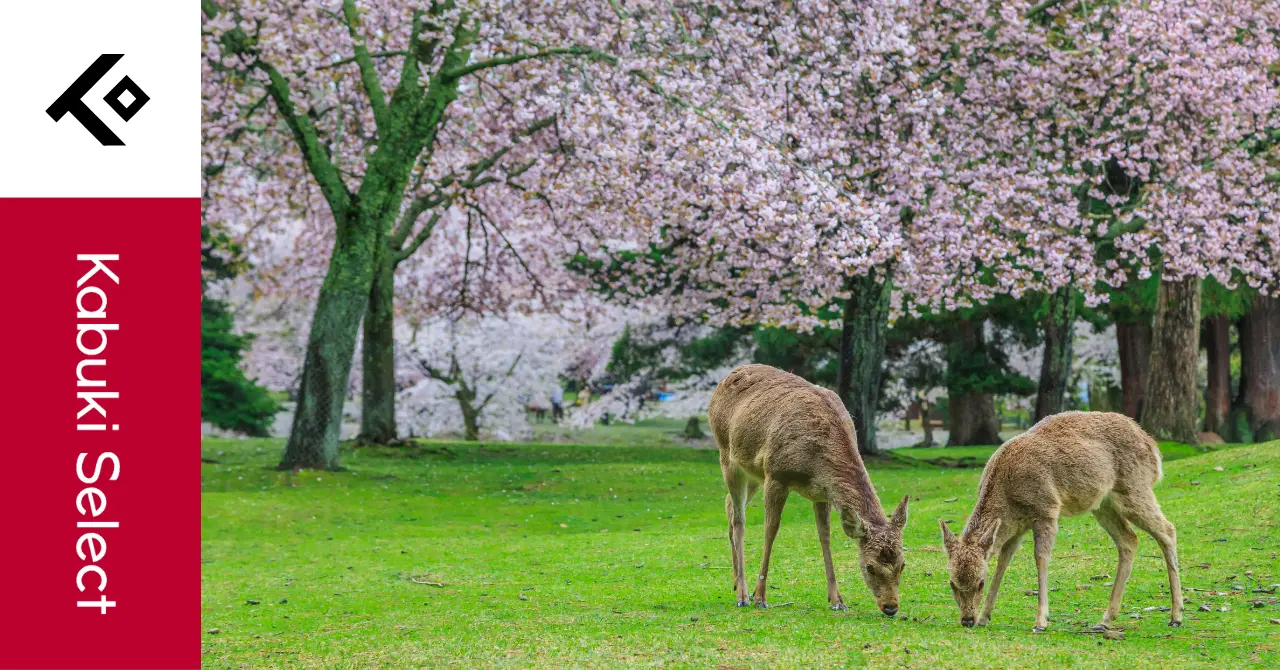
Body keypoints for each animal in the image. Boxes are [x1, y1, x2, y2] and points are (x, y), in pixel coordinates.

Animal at [711, 363, 911, 617]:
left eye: (902, 564)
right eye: (870, 566)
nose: (891, 607)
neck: (817, 465)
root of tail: (727, 376)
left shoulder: (822, 493)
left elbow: (825, 536)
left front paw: (837, 600)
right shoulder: (776, 475)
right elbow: (771, 530)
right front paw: (761, 597)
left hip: (753, 472)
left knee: (728, 504)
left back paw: (736, 582)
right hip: (727, 455)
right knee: (739, 519)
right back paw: (743, 595)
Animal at [936, 412, 1182, 632]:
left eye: (980, 582)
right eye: (951, 582)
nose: (967, 620)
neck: (1008, 499)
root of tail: (1153, 447)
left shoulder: (1046, 509)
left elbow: (1041, 558)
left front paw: (1041, 621)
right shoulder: (1016, 526)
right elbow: (1003, 562)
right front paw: (984, 617)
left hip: (1135, 488)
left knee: (1168, 529)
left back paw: (1176, 617)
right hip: (1103, 504)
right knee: (1129, 540)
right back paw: (1104, 620)